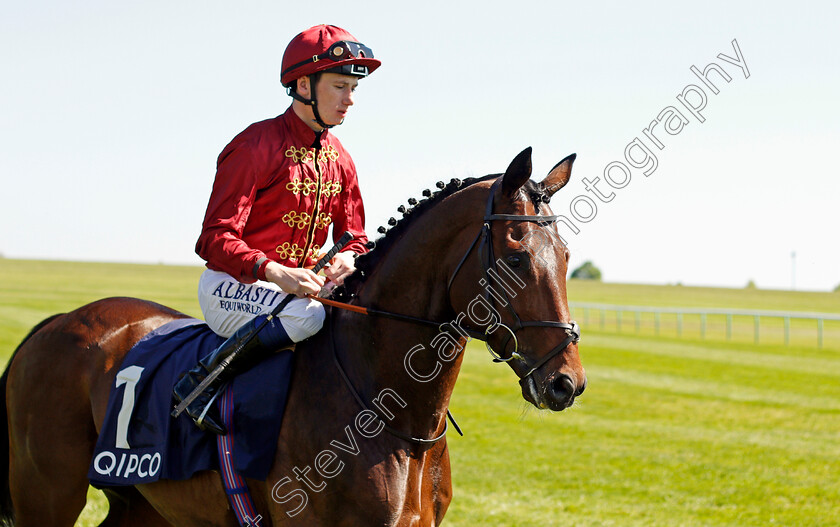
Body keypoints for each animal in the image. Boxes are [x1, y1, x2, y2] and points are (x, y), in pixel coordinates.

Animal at [0, 146, 584, 524]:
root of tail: (52, 323)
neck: (392, 414)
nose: (567, 382)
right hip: (46, 493)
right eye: (516, 258)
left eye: (566, 256)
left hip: (142, 504)